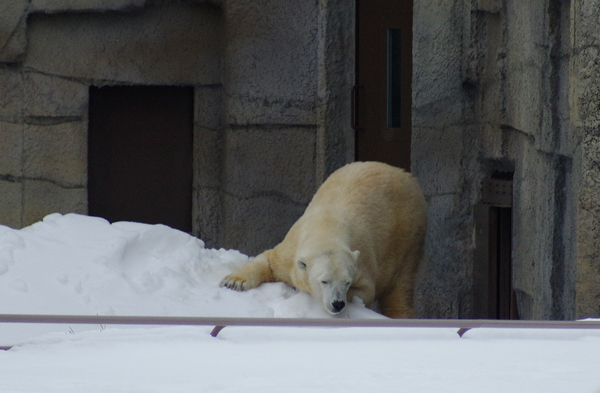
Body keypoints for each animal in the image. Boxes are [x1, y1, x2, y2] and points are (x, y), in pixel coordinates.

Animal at [220, 161, 426, 316]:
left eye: (347, 282)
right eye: (324, 281)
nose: (337, 303)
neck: (326, 226)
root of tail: (405, 174)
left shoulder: (363, 264)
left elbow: (365, 292)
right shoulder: (289, 251)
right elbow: (268, 260)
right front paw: (234, 282)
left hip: (408, 234)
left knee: (399, 287)